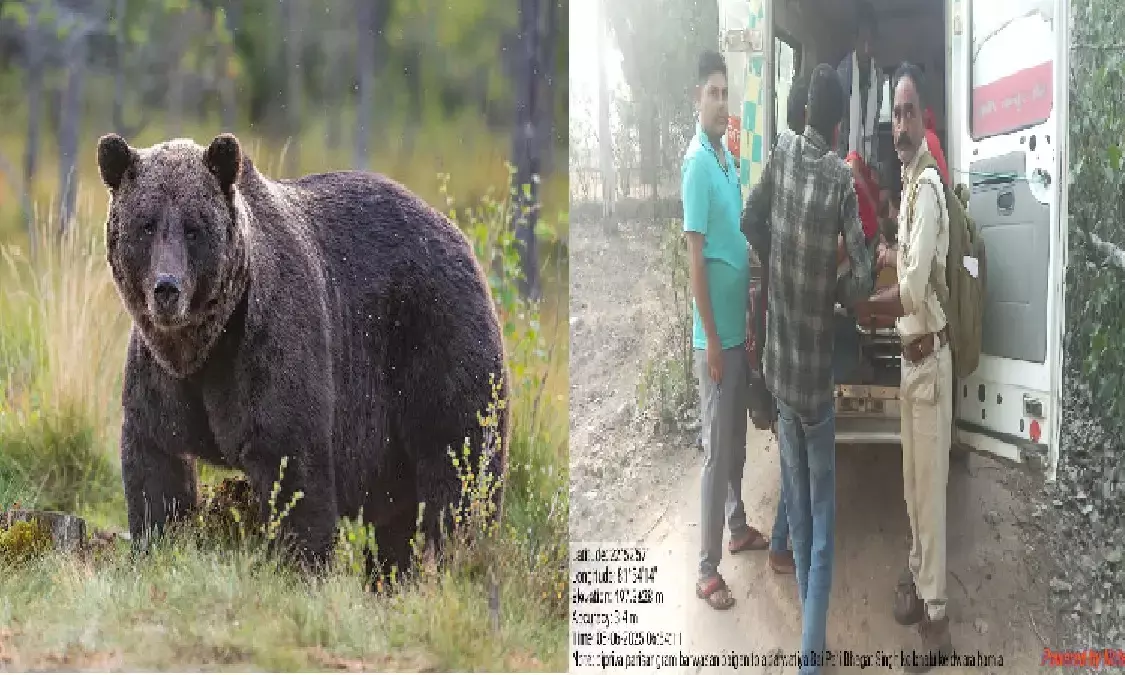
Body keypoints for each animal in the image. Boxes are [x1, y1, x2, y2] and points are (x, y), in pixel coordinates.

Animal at [95, 132, 510, 580]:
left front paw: (301, 566)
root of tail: (456, 232)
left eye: (194, 228)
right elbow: (157, 468)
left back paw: (461, 559)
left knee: (459, 467)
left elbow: (292, 466)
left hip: (435, 336)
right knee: (399, 520)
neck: (204, 346)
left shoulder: (267, 346)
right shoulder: (162, 378)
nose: (166, 288)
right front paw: (157, 545)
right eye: (146, 224)